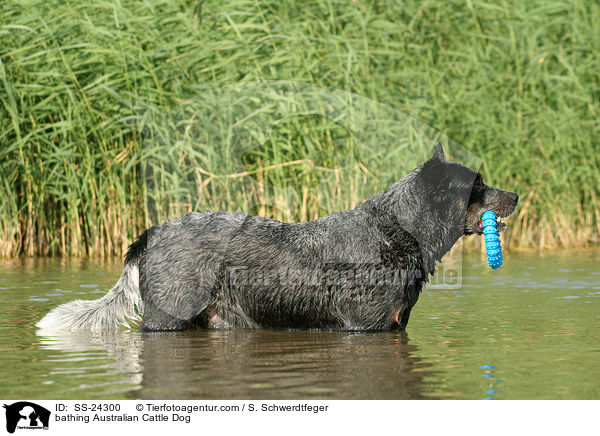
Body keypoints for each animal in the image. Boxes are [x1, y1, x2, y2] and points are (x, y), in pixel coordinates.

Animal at [37, 145, 516, 332]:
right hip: (167, 318)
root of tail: (151, 233)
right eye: (477, 185)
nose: (514, 195)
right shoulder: (368, 326)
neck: (400, 231)